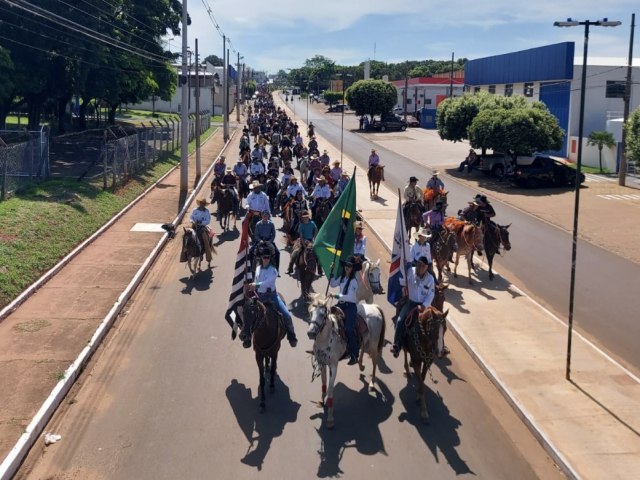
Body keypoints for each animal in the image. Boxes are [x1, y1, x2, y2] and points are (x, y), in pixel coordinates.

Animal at [306, 294, 384, 430]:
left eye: (322, 314)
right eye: (311, 312)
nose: (311, 333)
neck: (327, 337)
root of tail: (374, 307)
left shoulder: (333, 366)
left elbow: (330, 389)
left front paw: (330, 419)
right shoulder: (322, 363)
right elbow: (323, 384)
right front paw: (321, 402)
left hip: (373, 345)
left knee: (375, 361)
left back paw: (372, 383)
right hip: (365, 341)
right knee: (361, 350)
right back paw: (360, 365)